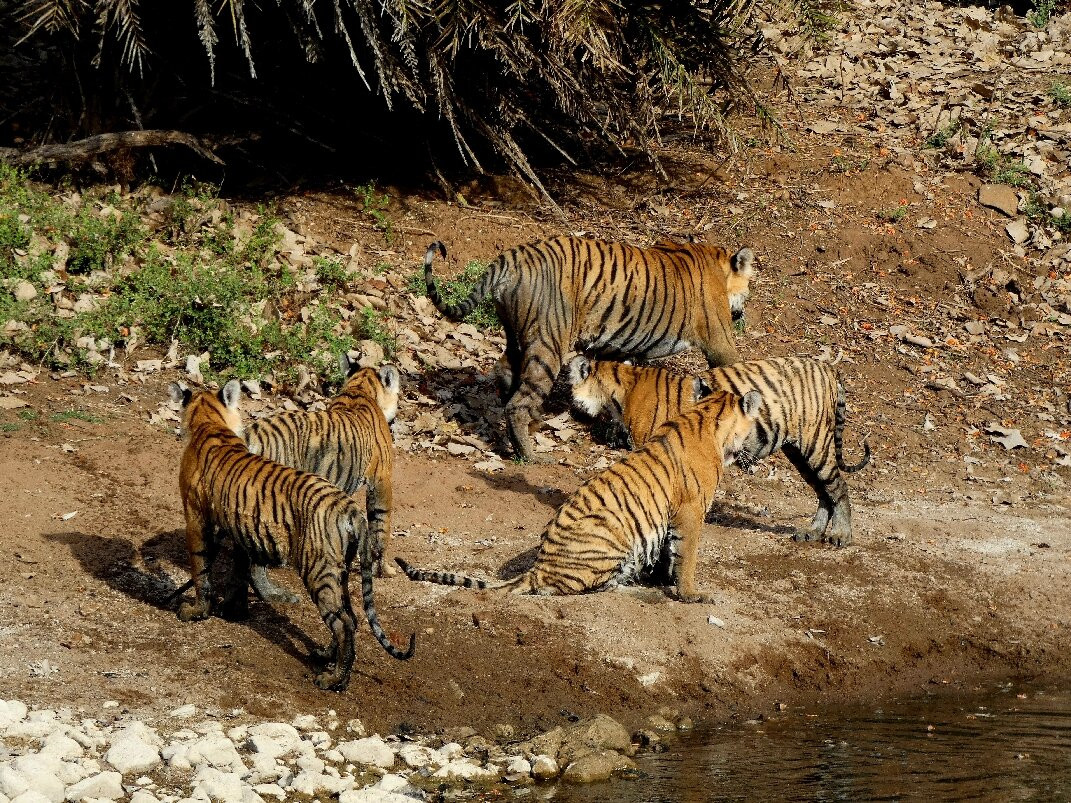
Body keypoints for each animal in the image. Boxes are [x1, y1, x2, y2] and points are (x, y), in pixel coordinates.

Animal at [168, 379, 414, 691]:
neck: (210, 423)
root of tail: (350, 508)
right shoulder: (241, 525)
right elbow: (239, 569)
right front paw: (233, 610)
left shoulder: (196, 518)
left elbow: (201, 569)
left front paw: (196, 611)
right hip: (340, 570)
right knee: (351, 616)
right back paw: (326, 655)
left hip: (318, 569)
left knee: (343, 622)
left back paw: (334, 679)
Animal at [396, 389, 763, 603]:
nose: (757, 455)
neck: (708, 415)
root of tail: (539, 567)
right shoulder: (691, 513)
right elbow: (686, 557)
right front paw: (691, 594)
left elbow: (667, 553)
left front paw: (665, 580)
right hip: (610, 535)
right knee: (583, 587)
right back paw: (632, 588)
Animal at [421, 236, 755, 461]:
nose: (742, 314)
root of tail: (512, 257)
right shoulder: (719, 341)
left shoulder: (621, 347)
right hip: (548, 342)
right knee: (519, 400)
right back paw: (530, 454)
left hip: (516, 335)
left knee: (505, 373)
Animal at [567, 355, 871, 547]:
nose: (569, 411)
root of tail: (827, 367)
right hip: (797, 451)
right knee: (823, 491)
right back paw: (812, 532)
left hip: (815, 443)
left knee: (838, 488)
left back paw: (841, 535)